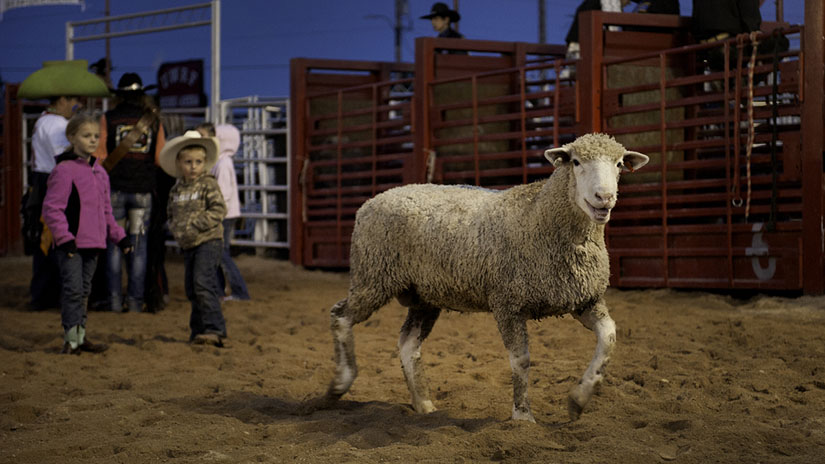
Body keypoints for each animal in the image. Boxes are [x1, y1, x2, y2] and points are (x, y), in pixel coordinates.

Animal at [318, 132, 648, 422]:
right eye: (576, 162)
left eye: (619, 164)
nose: (604, 197)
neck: (538, 215)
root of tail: (373, 200)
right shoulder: (507, 303)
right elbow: (521, 360)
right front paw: (522, 417)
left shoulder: (583, 299)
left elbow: (609, 337)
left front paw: (578, 400)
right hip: (373, 276)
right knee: (340, 315)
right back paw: (340, 384)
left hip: (424, 295)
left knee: (408, 344)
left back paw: (423, 404)